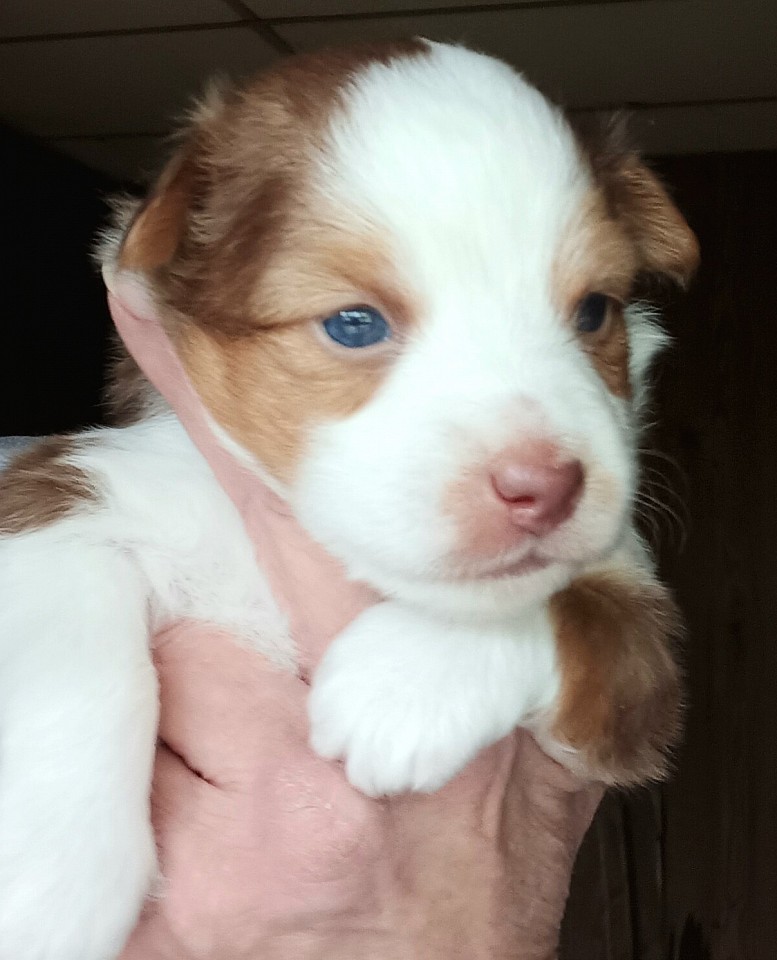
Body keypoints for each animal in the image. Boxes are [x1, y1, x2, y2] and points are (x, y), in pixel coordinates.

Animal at [0, 39, 696, 960]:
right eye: (353, 324)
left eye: (593, 311)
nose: (543, 486)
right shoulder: (76, 485)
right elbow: (72, 624)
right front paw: (50, 881)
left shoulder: (634, 676)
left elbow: (583, 610)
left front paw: (405, 682)